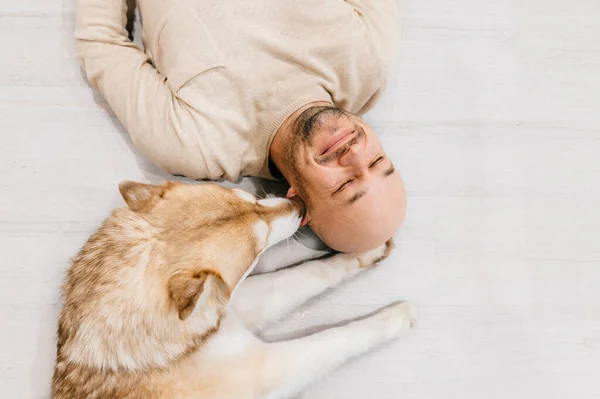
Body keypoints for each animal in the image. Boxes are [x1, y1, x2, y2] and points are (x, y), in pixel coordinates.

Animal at [52, 182, 418, 399]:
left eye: (252, 199)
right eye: (257, 248)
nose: (301, 204)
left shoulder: (231, 304)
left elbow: (311, 272)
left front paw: (362, 253)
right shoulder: (268, 370)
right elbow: (337, 338)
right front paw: (395, 318)